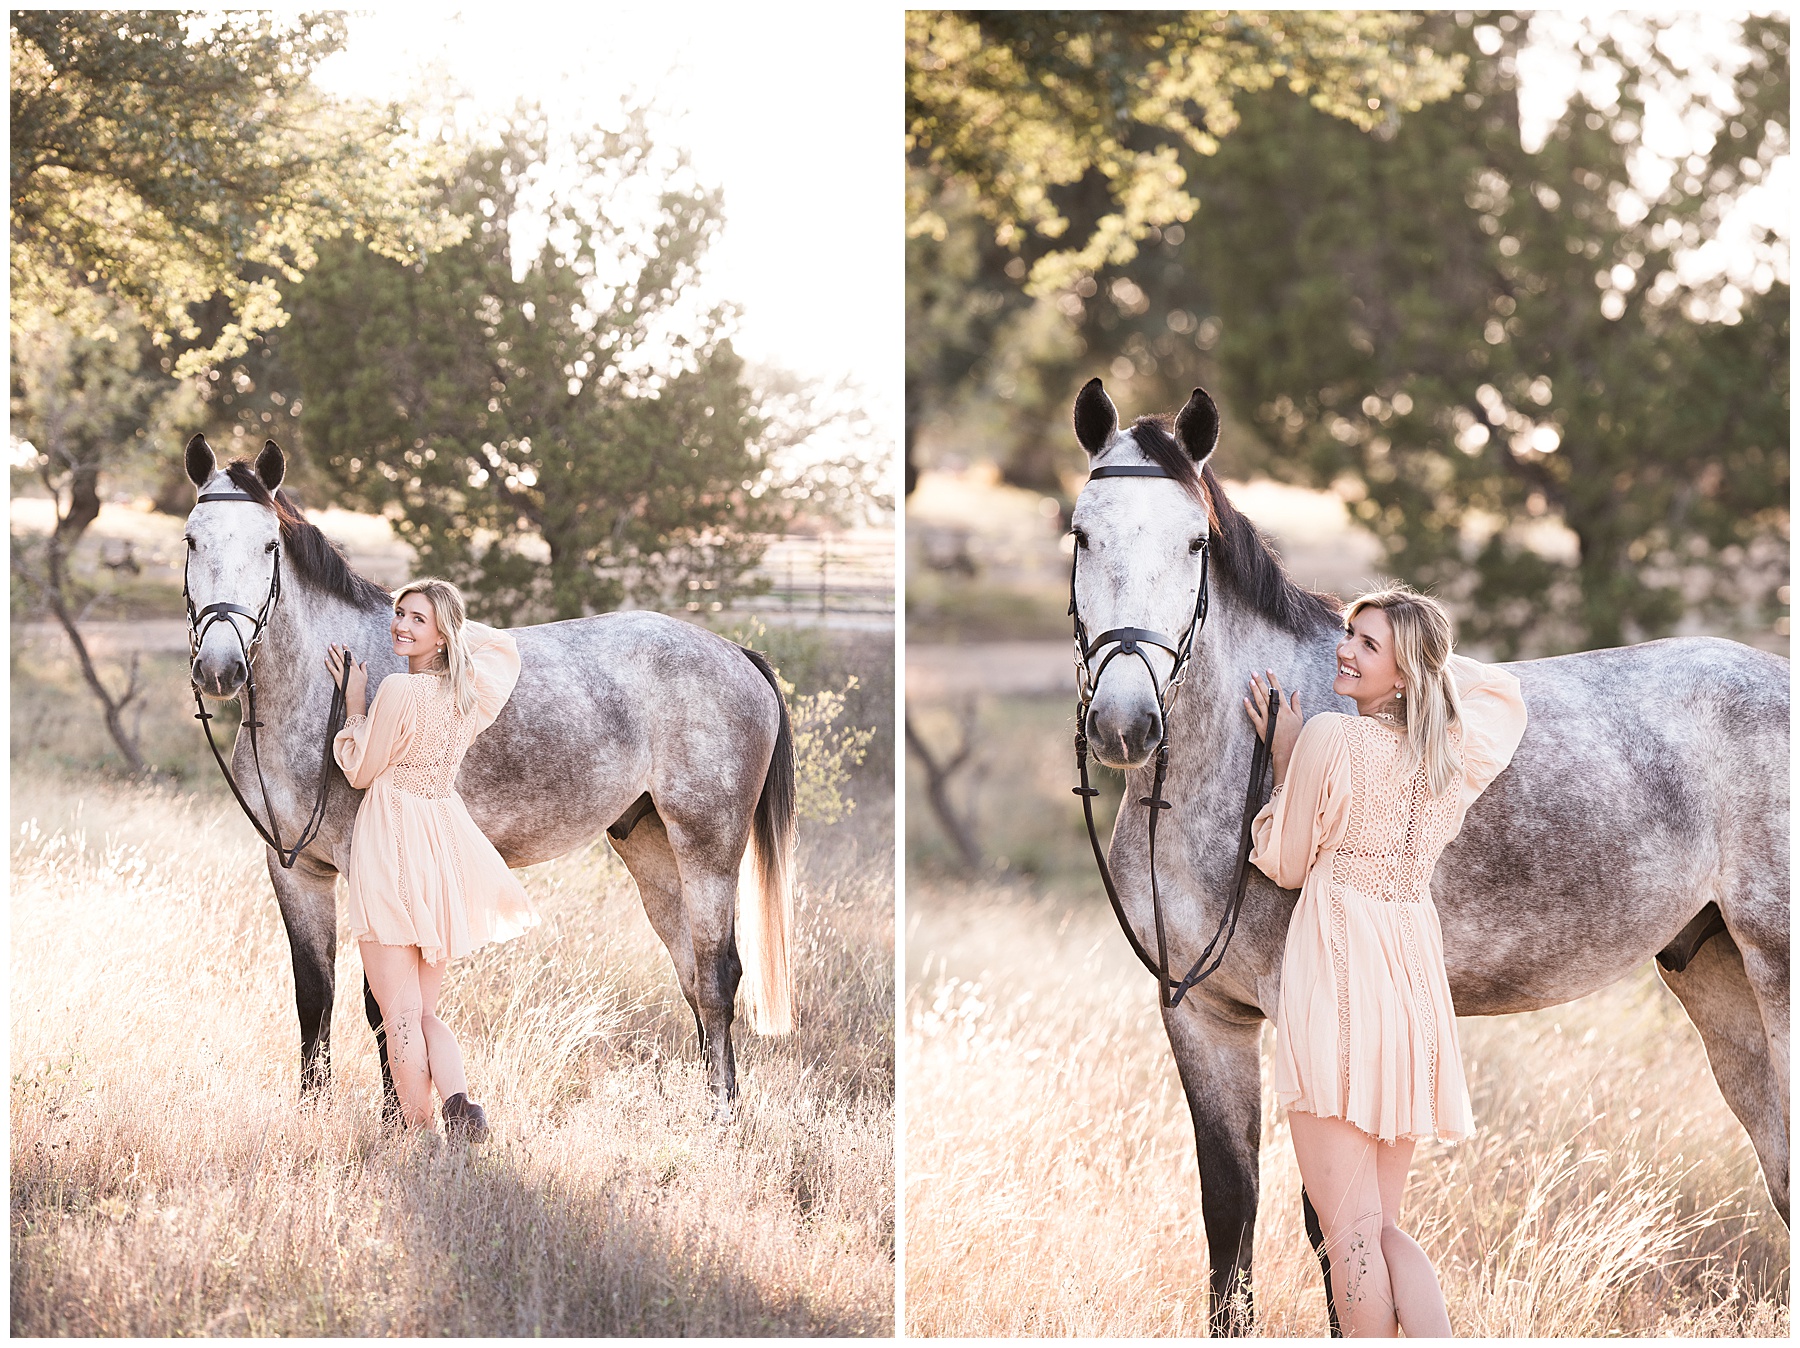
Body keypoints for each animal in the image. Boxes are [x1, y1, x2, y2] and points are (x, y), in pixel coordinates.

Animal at [180, 434, 796, 1120]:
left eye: (268, 546)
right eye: (191, 541)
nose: (221, 667)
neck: (321, 693)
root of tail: (735, 653)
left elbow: (384, 1004)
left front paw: (401, 1121)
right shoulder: (294, 870)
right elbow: (315, 995)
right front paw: (314, 1115)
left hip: (708, 850)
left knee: (717, 977)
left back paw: (724, 1119)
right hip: (652, 850)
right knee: (692, 975)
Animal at [1067, 378, 1789, 1335]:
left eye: (1194, 542)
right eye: (1081, 534)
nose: (1125, 722)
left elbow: (1336, 1229)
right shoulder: (1202, 1020)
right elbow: (1231, 1216)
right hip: (1718, 979)